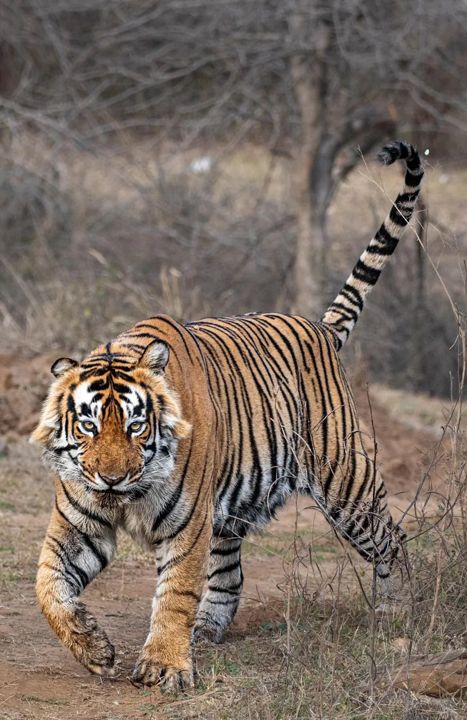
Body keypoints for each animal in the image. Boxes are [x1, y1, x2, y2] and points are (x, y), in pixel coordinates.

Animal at [31, 141, 424, 692]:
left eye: (135, 425)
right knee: (229, 574)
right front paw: (95, 649)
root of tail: (320, 328)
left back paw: (397, 613)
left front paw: (164, 666)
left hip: (345, 484)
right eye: (88, 425)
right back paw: (207, 631)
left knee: (392, 539)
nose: (111, 480)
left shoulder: (186, 525)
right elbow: (47, 585)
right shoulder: (78, 523)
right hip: (230, 511)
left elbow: (175, 593)